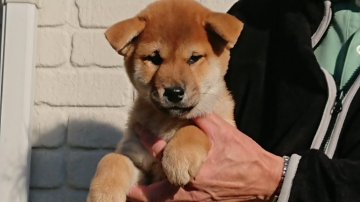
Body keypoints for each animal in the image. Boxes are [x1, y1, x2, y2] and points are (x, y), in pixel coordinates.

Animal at [87, 0, 242, 201]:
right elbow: (112, 159)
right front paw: (103, 193)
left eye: (194, 58)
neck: (168, 122)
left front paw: (179, 158)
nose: (174, 92)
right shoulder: (137, 158)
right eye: (154, 58)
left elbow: (195, 128)